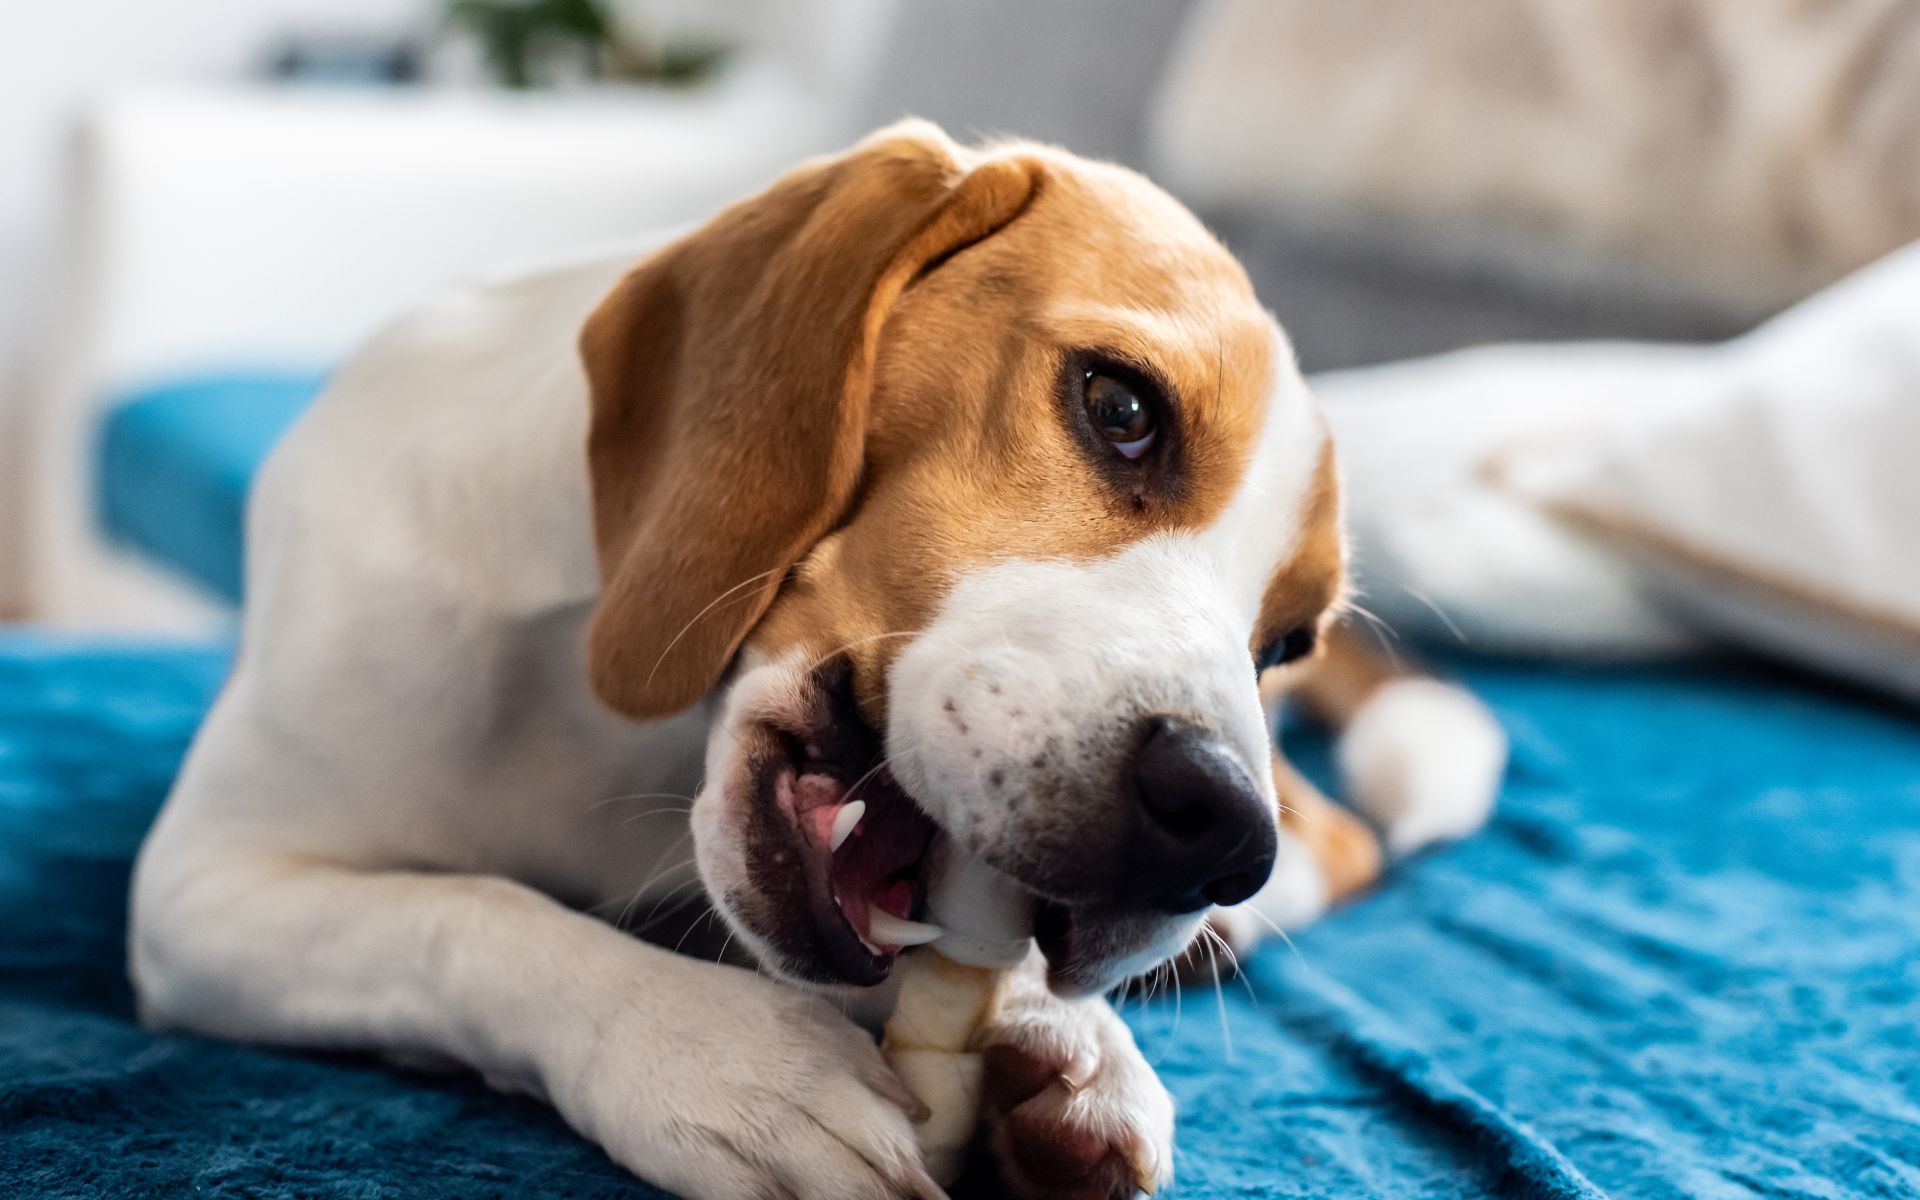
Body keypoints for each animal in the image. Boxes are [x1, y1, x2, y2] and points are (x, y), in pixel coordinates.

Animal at [135, 123, 1505, 1198]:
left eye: (1285, 640)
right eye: (1122, 409)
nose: (1219, 832)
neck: (623, 735)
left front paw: (1067, 1037)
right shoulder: (204, 893)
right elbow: (470, 915)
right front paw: (721, 1059)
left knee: (1344, 842)